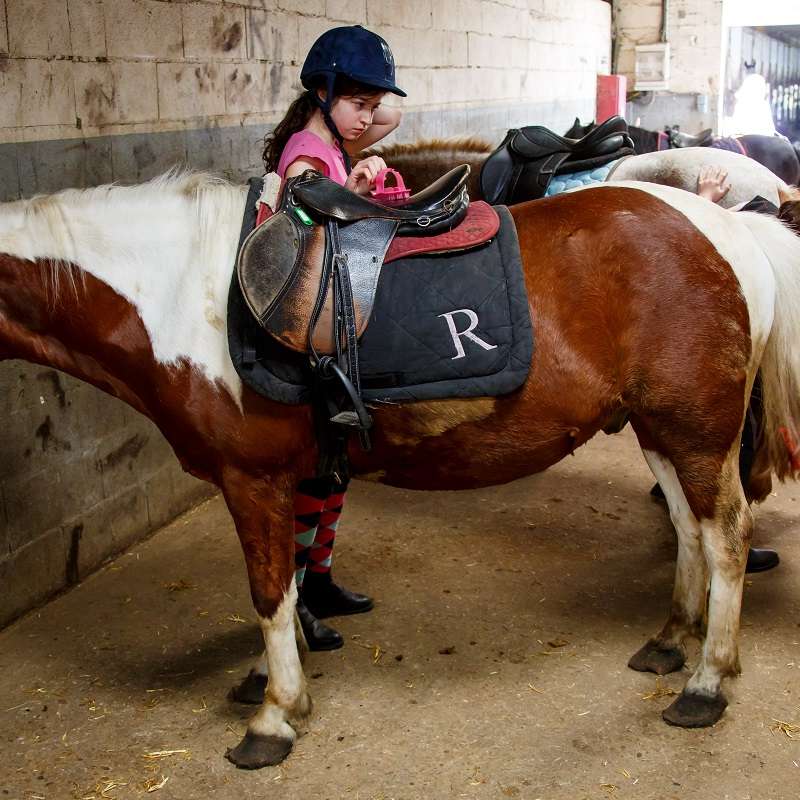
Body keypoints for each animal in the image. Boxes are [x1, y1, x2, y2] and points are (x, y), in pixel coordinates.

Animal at [1, 173, 800, 768]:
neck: (176, 291)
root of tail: (728, 229)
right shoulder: (291, 479)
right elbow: (293, 579)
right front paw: (273, 675)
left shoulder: (253, 479)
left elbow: (268, 591)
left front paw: (277, 715)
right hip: (661, 430)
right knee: (691, 532)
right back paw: (670, 640)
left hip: (696, 433)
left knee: (727, 539)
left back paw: (706, 682)